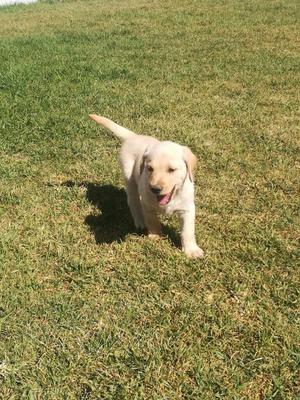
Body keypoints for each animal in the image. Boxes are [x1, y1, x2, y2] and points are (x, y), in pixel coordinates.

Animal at [88, 114, 203, 258]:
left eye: (171, 170)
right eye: (150, 168)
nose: (155, 189)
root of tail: (133, 136)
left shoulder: (187, 208)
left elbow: (187, 231)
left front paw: (192, 250)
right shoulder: (147, 205)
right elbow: (152, 221)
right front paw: (155, 237)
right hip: (129, 177)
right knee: (133, 200)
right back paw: (140, 221)